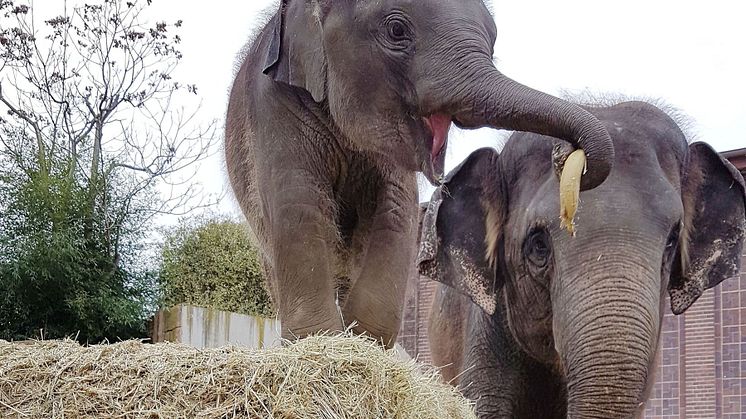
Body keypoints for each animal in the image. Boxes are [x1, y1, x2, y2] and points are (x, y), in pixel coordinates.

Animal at [224, 0, 612, 346]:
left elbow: (397, 210)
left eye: (493, 41)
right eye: (397, 30)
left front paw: (364, 344)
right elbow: (298, 204)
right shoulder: (273, 104)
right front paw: (322, 344)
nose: (565, 154)